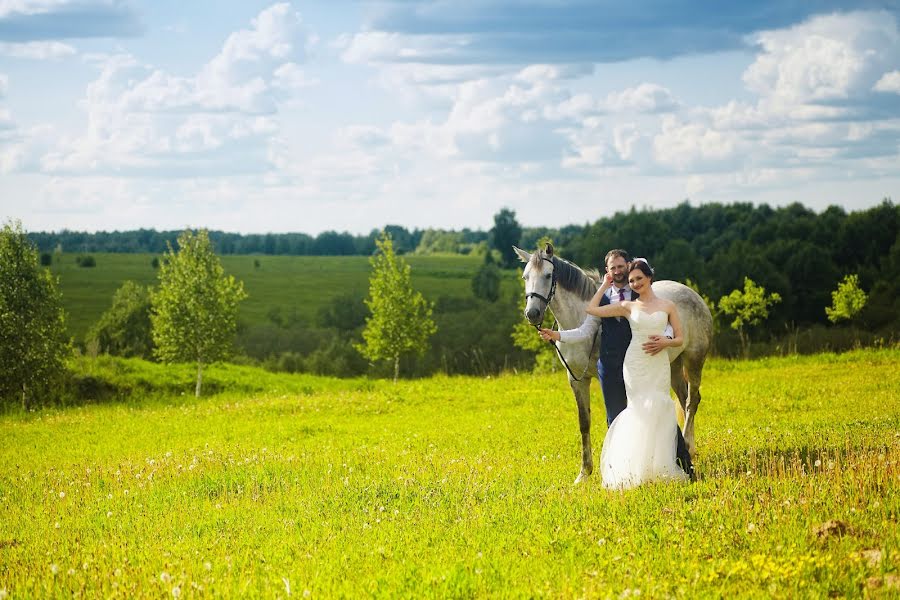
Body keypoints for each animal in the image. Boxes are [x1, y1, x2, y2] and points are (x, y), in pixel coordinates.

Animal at [516, 244, 712, 482]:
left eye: (547, 275)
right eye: (525, 277)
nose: (532, 313)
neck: (580, 323)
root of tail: (693, 294)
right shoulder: (576, 380)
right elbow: (584, 422)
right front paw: (584, 473)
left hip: (694, 359)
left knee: (692, 401)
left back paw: (688, 449)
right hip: (674, 366)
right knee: (683, 400)